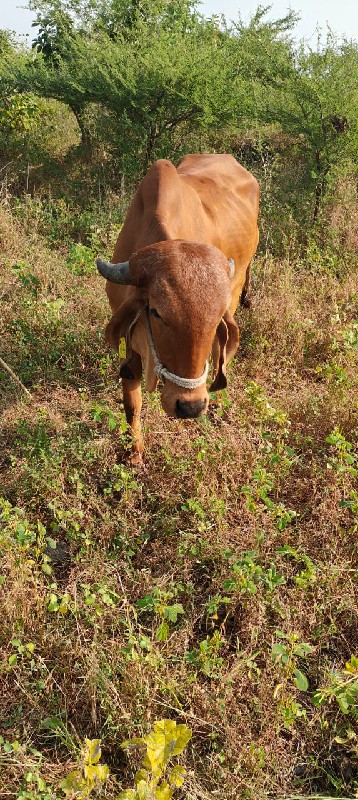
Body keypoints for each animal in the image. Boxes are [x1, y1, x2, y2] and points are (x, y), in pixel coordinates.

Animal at [97, 154, 260, 462]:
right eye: (157, 313)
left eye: (216, 320)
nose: (190, 407)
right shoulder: (130, 343)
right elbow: (132, 404)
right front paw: (134, 453)